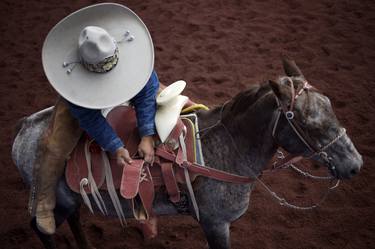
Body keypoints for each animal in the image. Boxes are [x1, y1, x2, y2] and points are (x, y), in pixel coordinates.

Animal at [12, 59, 364, 248]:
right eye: (308, 123)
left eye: (331, 106)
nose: (355, 165)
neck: (226, 148)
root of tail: (25, 127)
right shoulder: (215, 224)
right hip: (53, 201)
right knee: (41, 228)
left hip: (68, 200)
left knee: (73, 219)